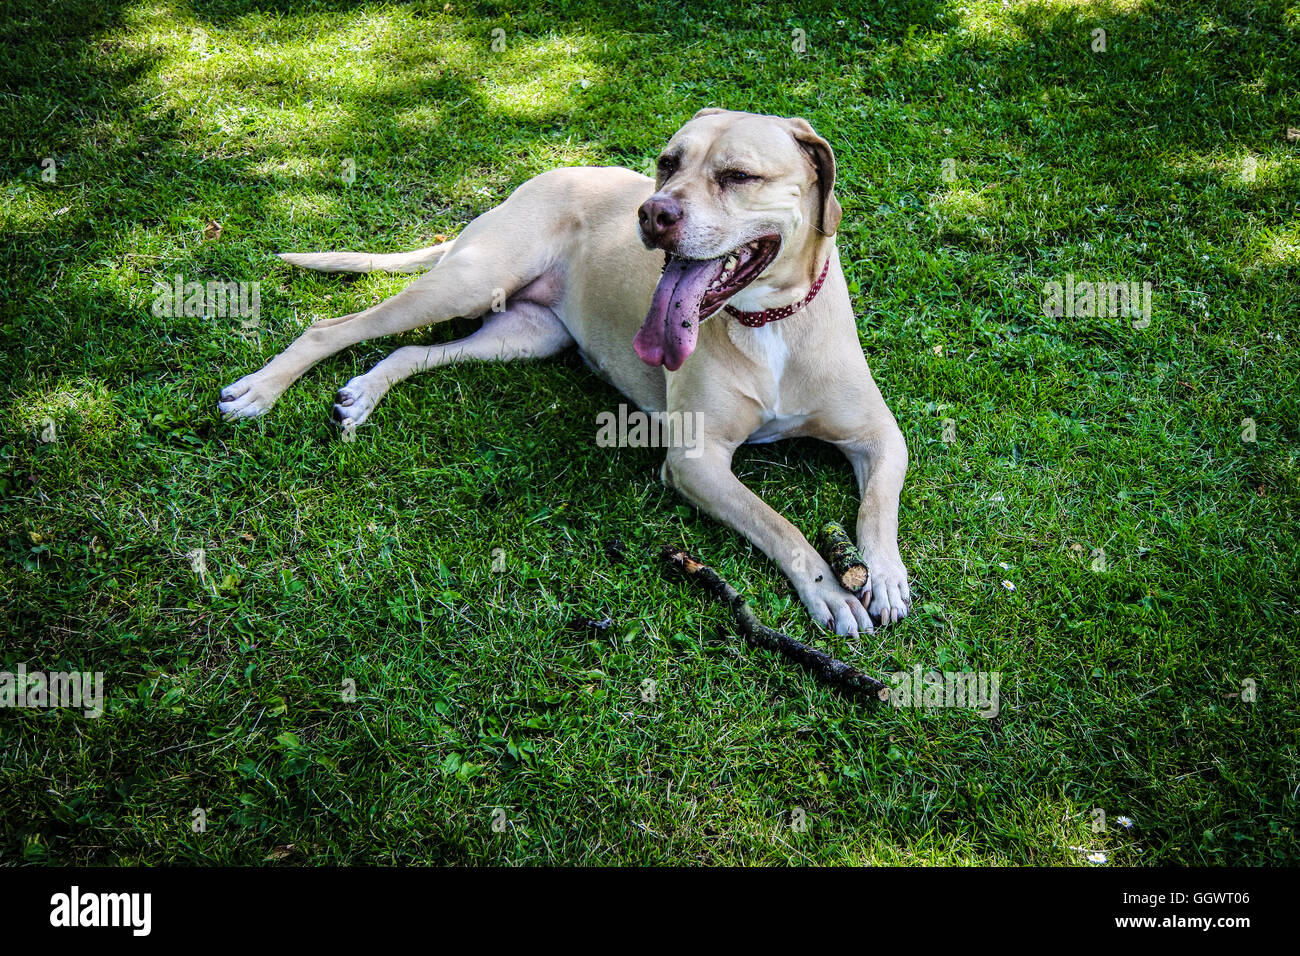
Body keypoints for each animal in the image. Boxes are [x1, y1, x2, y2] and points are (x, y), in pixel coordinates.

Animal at [218, 110, 909, 634]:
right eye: (668, 163)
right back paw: (260, 390)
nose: (653, 213)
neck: (771, 322)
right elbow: (778, 522)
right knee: (332, 327)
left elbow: (878, 503)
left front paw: (885, 575)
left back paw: (364, 393)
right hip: (469, 281)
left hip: (524, 335)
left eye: (738, 176)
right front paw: (829, 589)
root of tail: (539, 178)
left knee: (410, 353)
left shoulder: (880, 434)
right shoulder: (697, 460)